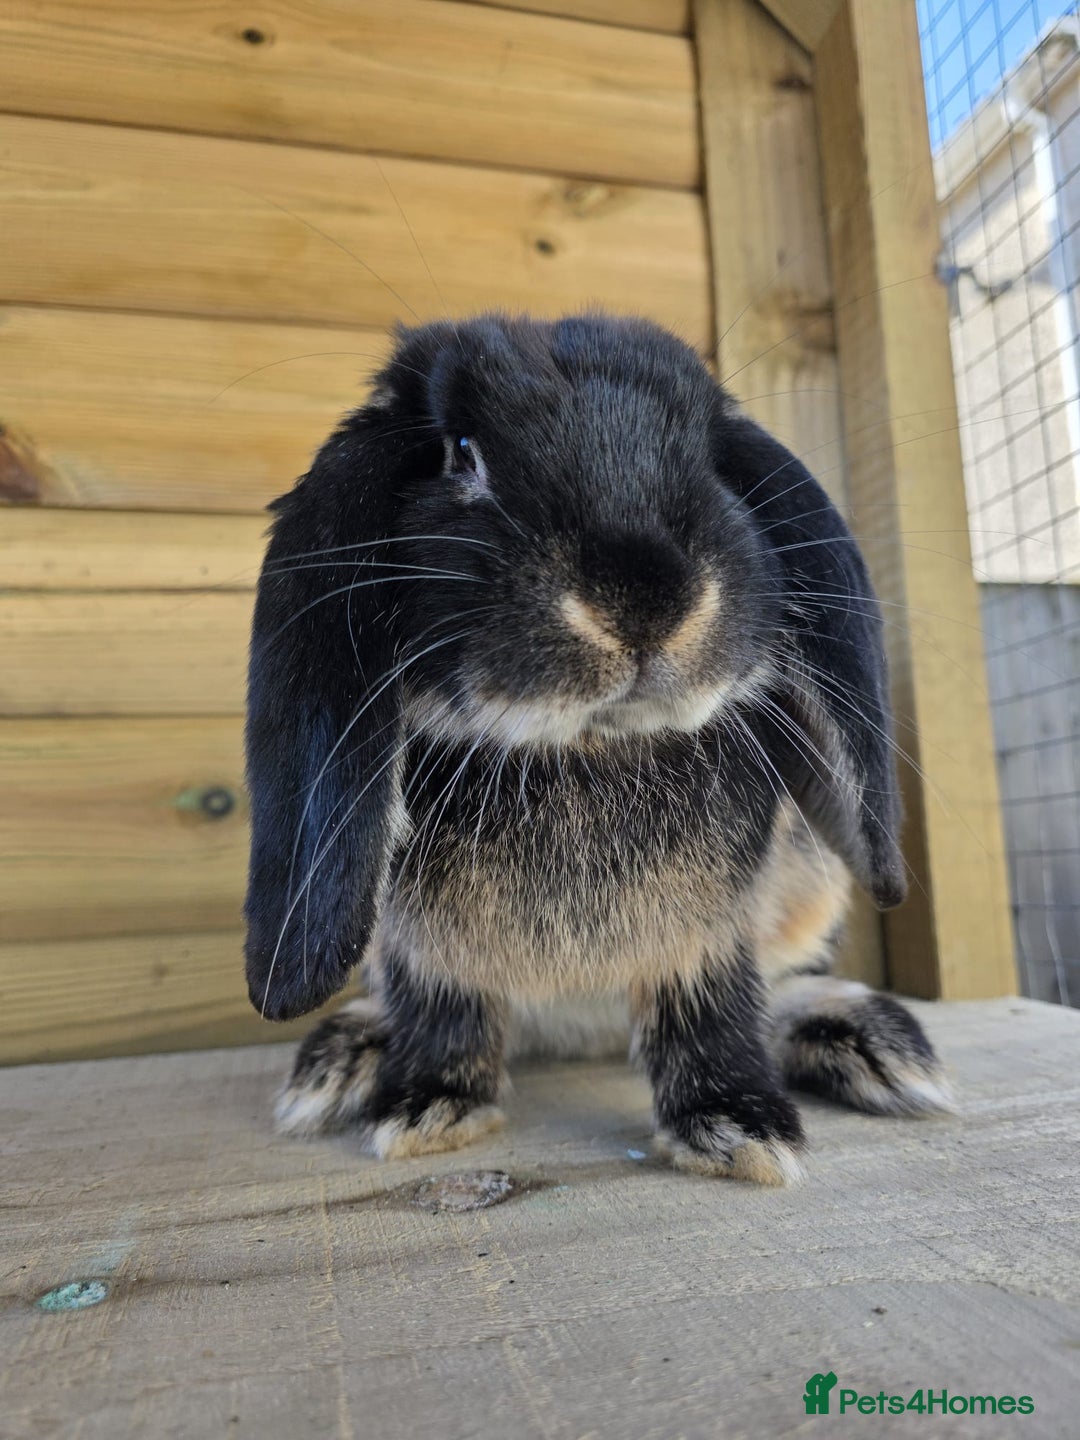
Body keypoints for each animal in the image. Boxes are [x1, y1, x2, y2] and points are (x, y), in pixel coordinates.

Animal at [244, 312, 953, 1185]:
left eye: (710, 459)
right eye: (461, 453)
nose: (643, 597)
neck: (583, 748)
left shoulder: (707, 933)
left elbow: (710, 1008)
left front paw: (737, 1127)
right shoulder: (425, 948)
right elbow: (444, 1010)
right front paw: (426, 1107)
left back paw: (864, 1039)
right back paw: (349, 1055)